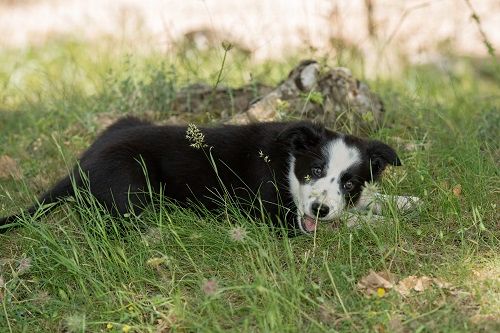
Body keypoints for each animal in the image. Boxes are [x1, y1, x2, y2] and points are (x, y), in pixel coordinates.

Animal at [0, 116, 400, 233]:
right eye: (315, 169)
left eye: (349, 183)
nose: (320, 210)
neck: (286, 164)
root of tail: (80, 164)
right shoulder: (270, 214)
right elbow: (349, 222)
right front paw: (379, 222)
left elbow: (373, 199)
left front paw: (402, 203)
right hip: (132, 185)